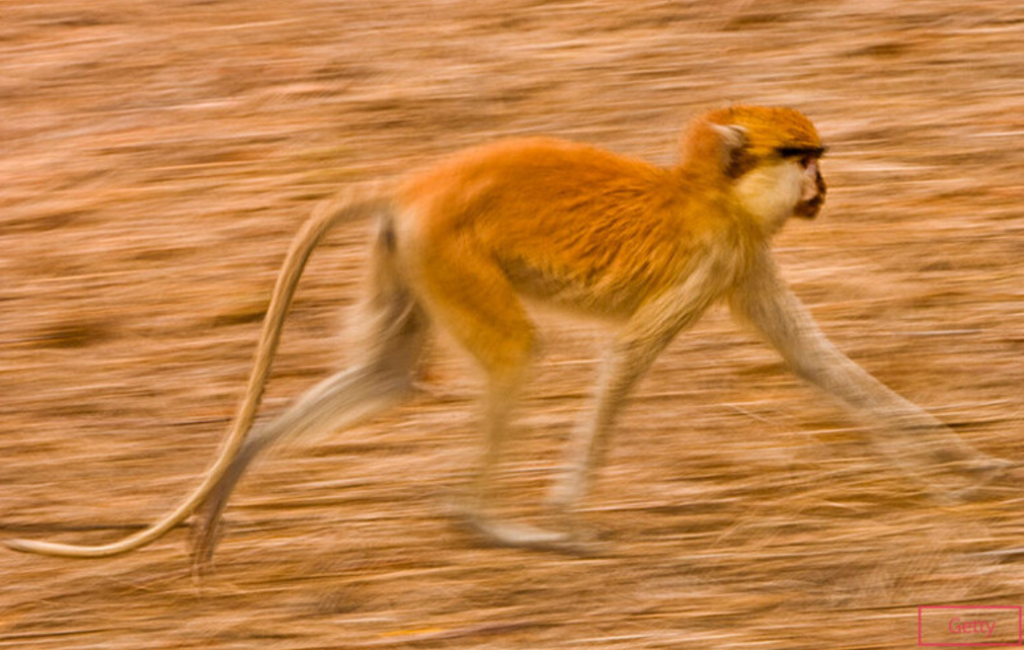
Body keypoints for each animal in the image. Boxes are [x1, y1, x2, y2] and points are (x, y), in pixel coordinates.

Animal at [5, 105, 1009, 565]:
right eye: (802, 158)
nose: (822, 189)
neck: (707, 189)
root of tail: (412, 185)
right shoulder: (714, 254)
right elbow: (625, 360)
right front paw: (566, 518)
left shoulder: (741, 255)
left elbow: (818, 363)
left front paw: (967, 470)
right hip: (449, 253)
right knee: (515, 357)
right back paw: (486, 519)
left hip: (409, 256)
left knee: (387, 372)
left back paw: (241, 468)